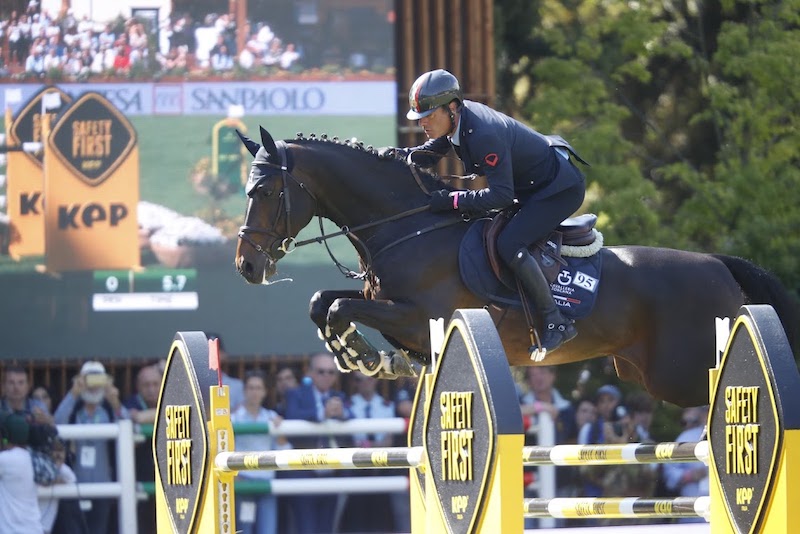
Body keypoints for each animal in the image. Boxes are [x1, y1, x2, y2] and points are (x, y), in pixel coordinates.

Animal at [234, 127, 796, 408]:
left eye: (265, 192)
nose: (246, 265)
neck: (407, 227)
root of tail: (720, 265)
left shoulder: (418, 316)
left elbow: (339, 309)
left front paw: (369, 357)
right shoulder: (385, 305)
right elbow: (323, 302)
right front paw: (366, 357)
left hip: (681, 373)